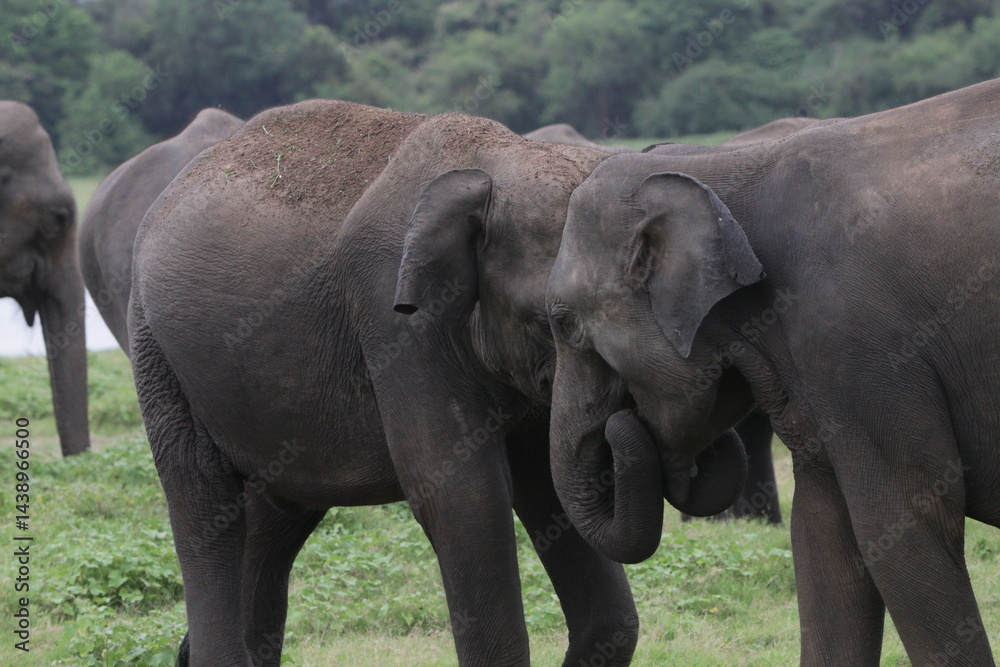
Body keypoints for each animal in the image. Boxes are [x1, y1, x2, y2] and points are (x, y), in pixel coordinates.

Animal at [128, 99, 639, 666]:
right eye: (549, 321)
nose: (627, 425)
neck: (502, 159)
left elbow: (547, 485)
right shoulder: (397, 317)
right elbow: (461, 496)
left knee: (276, 515)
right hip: (158, 349)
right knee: (205, 502)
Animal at [544, 78, 1000, 664]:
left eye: (563, 322)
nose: (622, 424)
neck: (718, 165)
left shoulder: (859, 349)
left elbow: (906, 520)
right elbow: (823, 530)